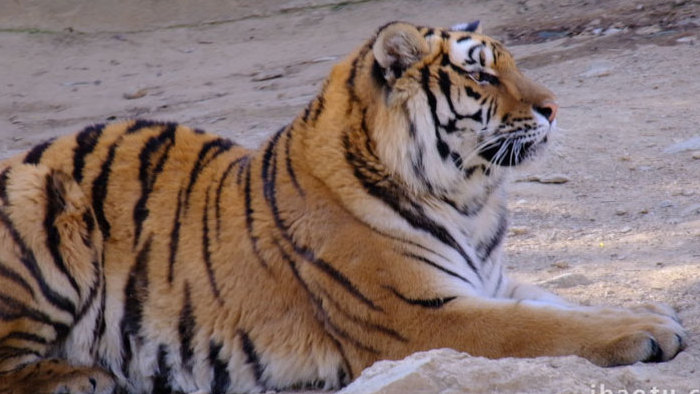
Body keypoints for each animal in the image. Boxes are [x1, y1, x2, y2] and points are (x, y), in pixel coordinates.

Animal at [0, 20, 688, 394]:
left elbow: (558, 302)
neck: (468, 199)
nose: (553, 108)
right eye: (482, 76)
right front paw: (647, 331)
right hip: (39, 203)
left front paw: (648, 307)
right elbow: (543, 328)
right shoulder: (426, 318)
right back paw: (80, 375)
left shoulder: (489, 280)